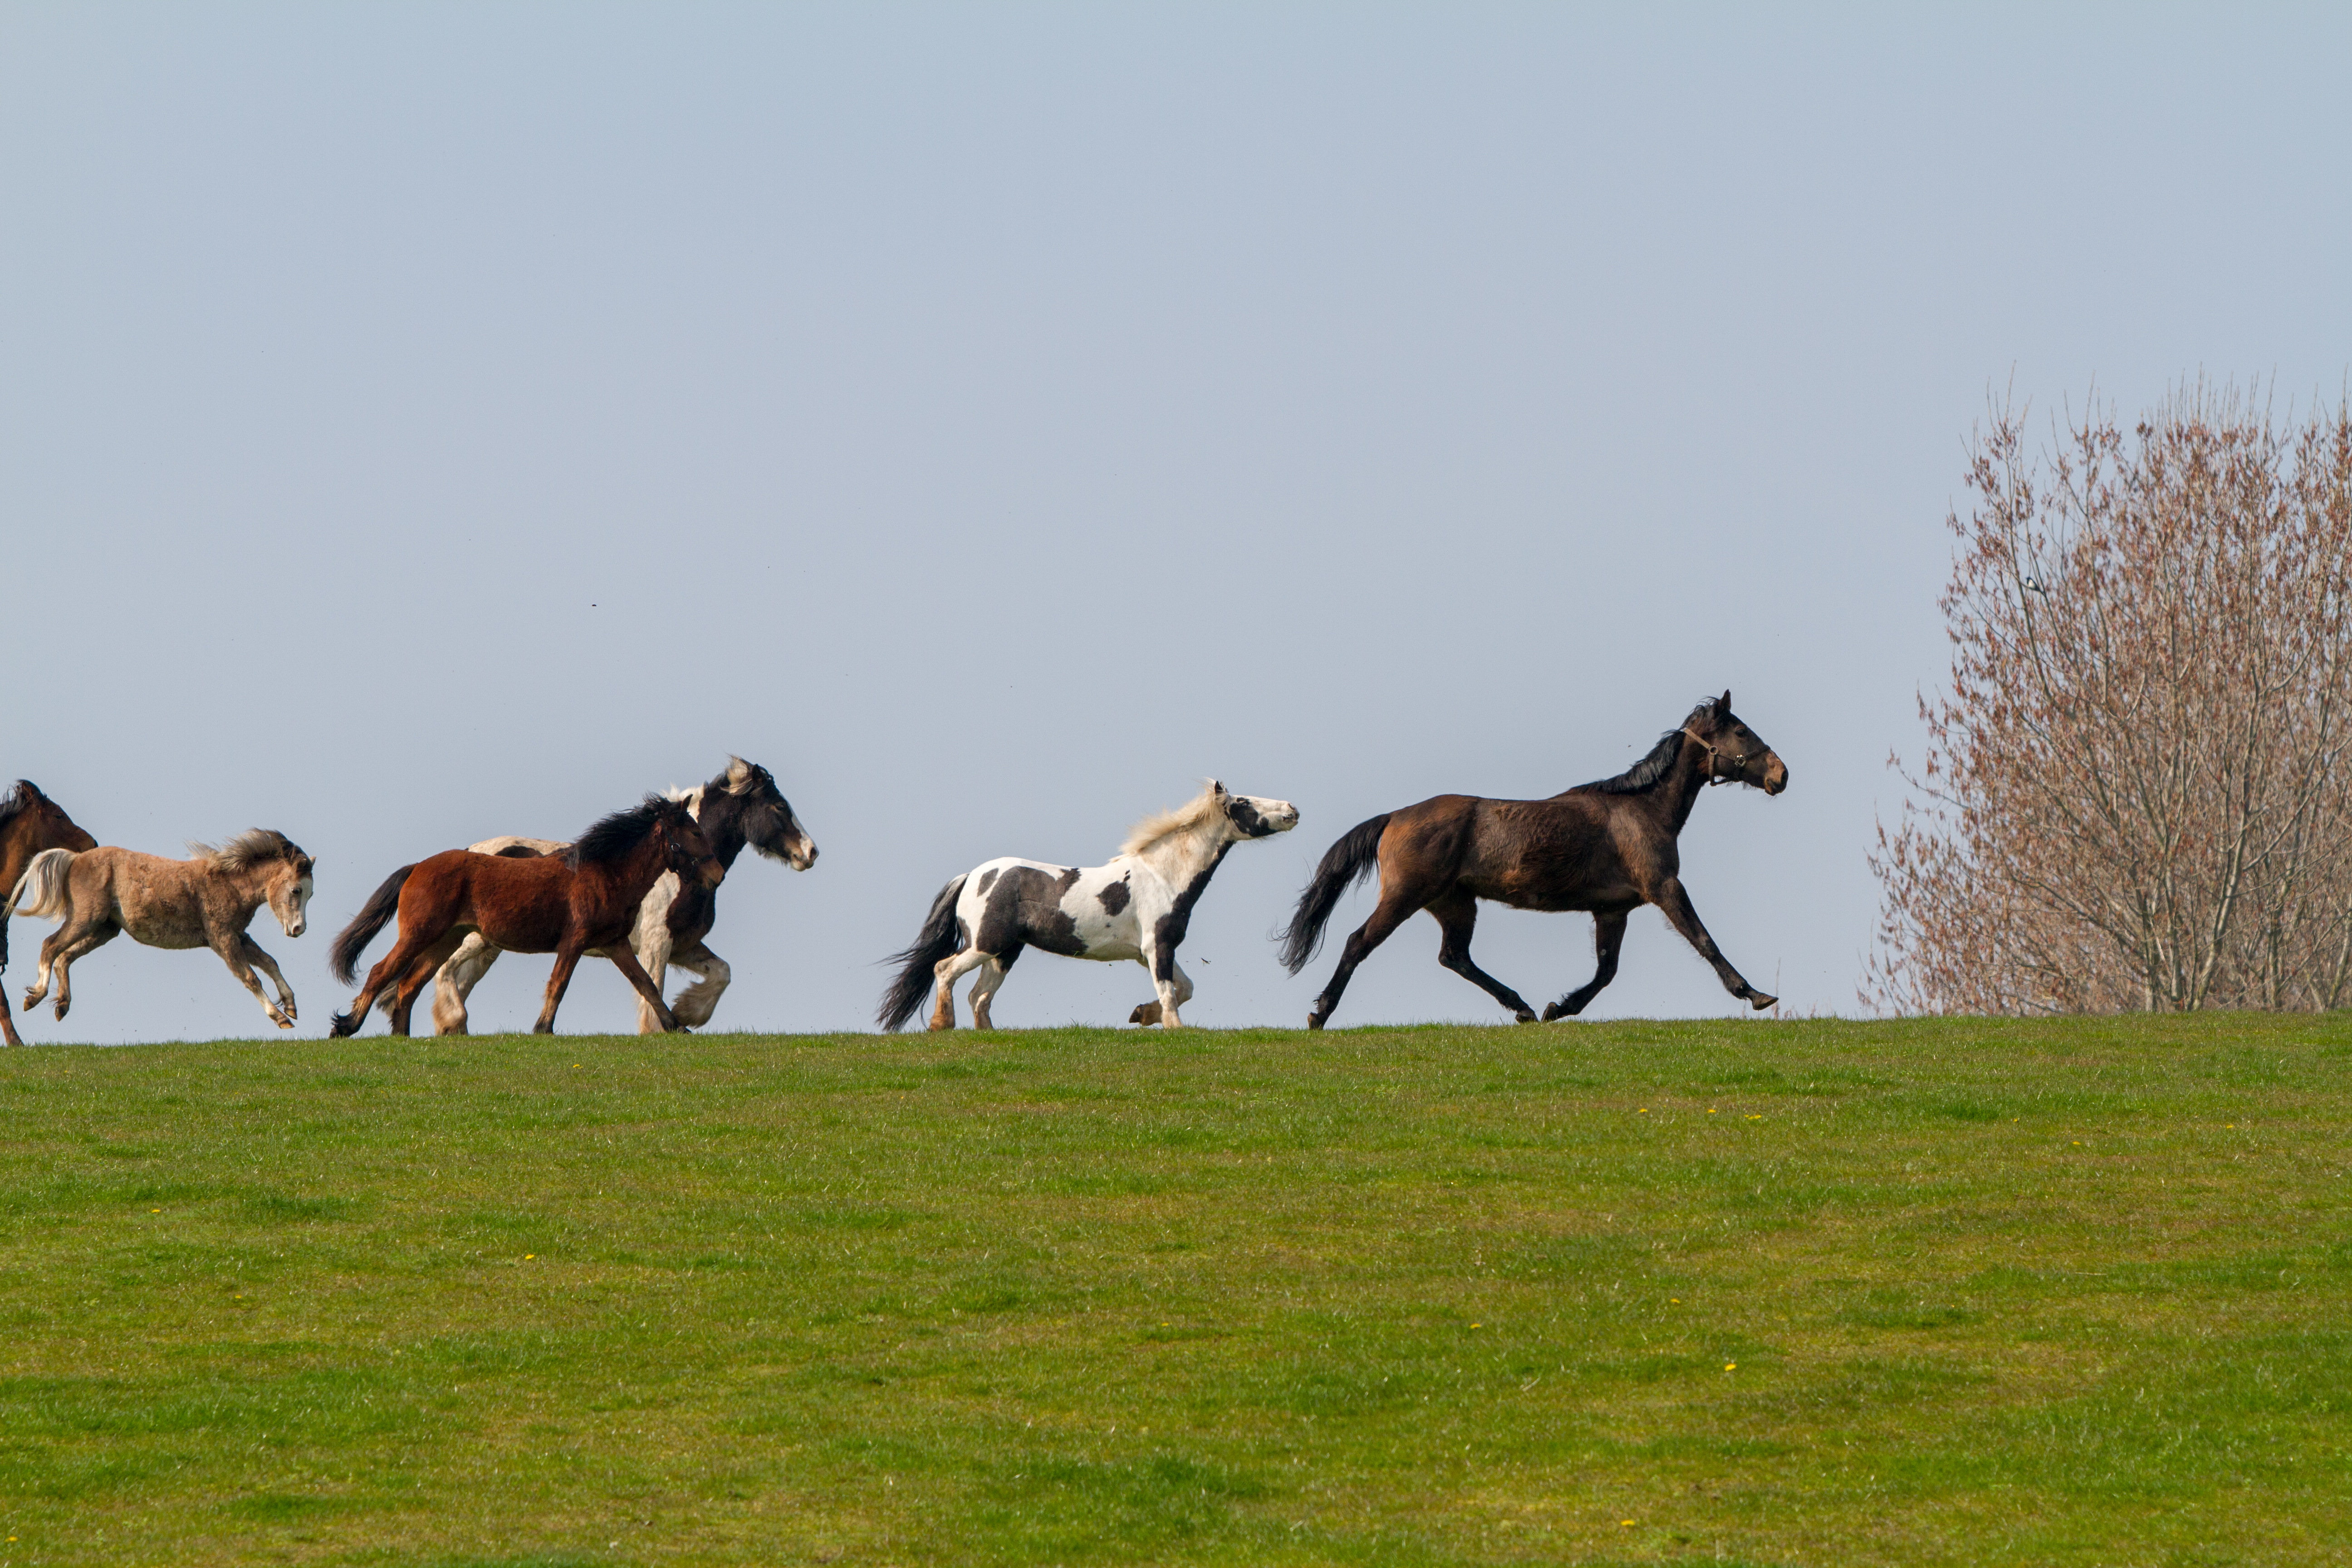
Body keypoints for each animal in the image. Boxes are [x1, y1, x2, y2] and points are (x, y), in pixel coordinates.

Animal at [11, 830, 315, 1030]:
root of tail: (75, 859)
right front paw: (280, 1017)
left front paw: (290, 1005)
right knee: (50, 946)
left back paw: (62, 1005)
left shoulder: (240, 937)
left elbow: (270, 963)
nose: (298, 929)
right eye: (296, 890)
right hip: (85, 920)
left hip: (104, 930)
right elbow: (252, 978)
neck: (229, 883)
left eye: (310, 893)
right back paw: (35, 997)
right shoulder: (224, 940)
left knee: (64, 958)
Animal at [328, 795, 723, 1037]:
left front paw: (677, 1026)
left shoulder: (615, 944)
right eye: (694, 832)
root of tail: (417, 868)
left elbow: (646, 985)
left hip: (445, 940)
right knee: (381, 972)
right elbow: (559, 984)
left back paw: (401, 1036)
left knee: (409, 984)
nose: (717, 875)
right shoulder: (575, 941)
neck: (605, 873)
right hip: (420, 935)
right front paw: (543, 1029)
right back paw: (346, 1026)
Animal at [419, 757, 817, 1035]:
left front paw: (687, 1013)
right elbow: (652, 987)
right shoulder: (658, 943)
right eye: (780, 807)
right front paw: (661, 1028)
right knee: (445, 971)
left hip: (490, 945)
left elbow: (721, 973)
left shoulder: (683, 945)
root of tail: (469, 852)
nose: (811, 852)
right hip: (476, 939)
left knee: (458, 979)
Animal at [878, 781, 1298, 1032]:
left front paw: (1141, 1015)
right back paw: (940, 1024)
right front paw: (1171, 1028)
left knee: (979, 997)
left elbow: (1185, 988)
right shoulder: (1157, 947)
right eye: (1244, 802)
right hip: (985, 943)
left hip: (1004, 952)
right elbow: (1170, 994)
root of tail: (972, 877)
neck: (1163, 877)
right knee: (945, 970)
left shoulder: (1149, 952)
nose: (1292, 809)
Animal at [1277, 692, 1788, 1029]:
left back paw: (1522, 1007)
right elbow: (1705, 941)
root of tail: (1394, 818)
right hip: (1406, 896)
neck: (1643, 809)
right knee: (1358, 942)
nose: (1782, 774)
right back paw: (1320, 1013)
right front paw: (1756, 994)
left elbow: (1605, 971)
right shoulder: (1664, 888)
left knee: (1455, 957)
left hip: (1454, 903)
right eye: (1741, 731)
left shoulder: (1613, 909)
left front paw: (1558, 1008)